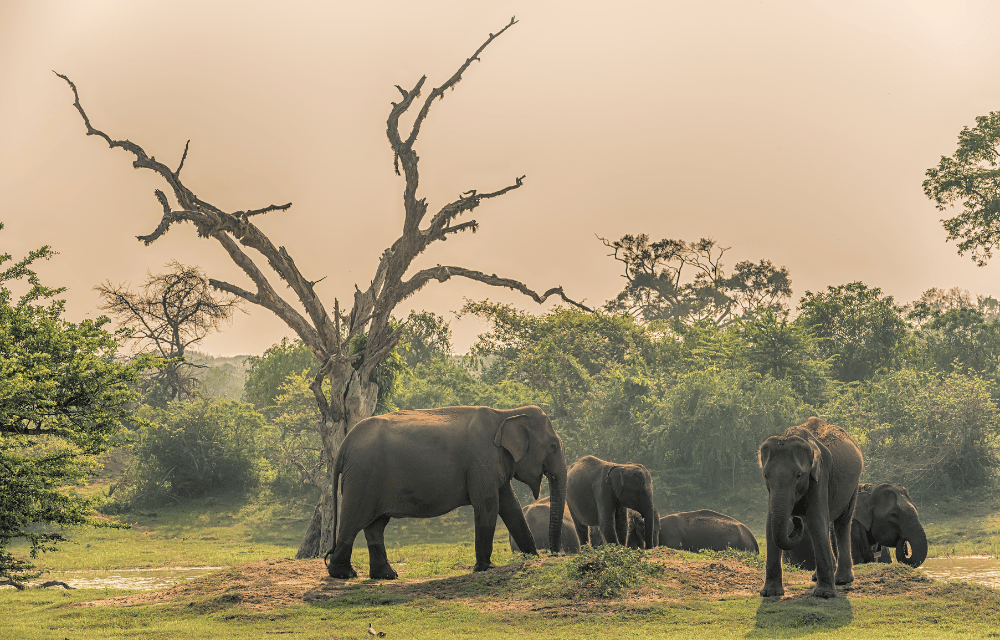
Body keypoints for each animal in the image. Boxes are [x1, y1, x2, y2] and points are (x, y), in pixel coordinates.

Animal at [324, 404, 568, 580]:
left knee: (376, 525)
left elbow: (511, 505)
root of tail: (344, 445)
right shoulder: (482, 460)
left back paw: (386, 576)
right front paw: (486, 568)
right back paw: (344, 574)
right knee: (354, 520)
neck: (506, 413)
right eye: (554, 446)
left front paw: (533, 557)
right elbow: (488, 504)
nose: (556, 554)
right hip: (363, 477)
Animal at [756, 418, 860, 596]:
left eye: (799, 475)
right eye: (766, 476)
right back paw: (817, 577)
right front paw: (770, 593)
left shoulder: (820, 476)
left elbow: (816, 520)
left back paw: (842, 580)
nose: (795, 519)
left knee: (842, 523)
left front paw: (824, 595)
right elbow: (770, 524)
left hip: (854, 485)